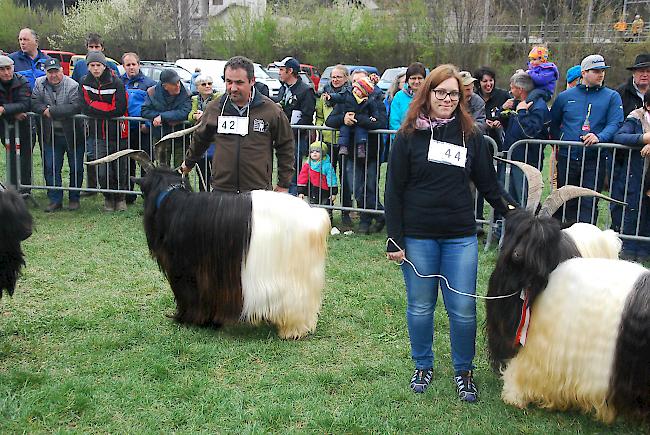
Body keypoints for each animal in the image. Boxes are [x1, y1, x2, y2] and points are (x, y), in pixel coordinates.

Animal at [87, 150, 330, 340]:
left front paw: (190, 319)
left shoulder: (187, 271)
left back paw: (291, 331)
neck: (171, 200)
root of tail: (313, 218)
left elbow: (190, 295)